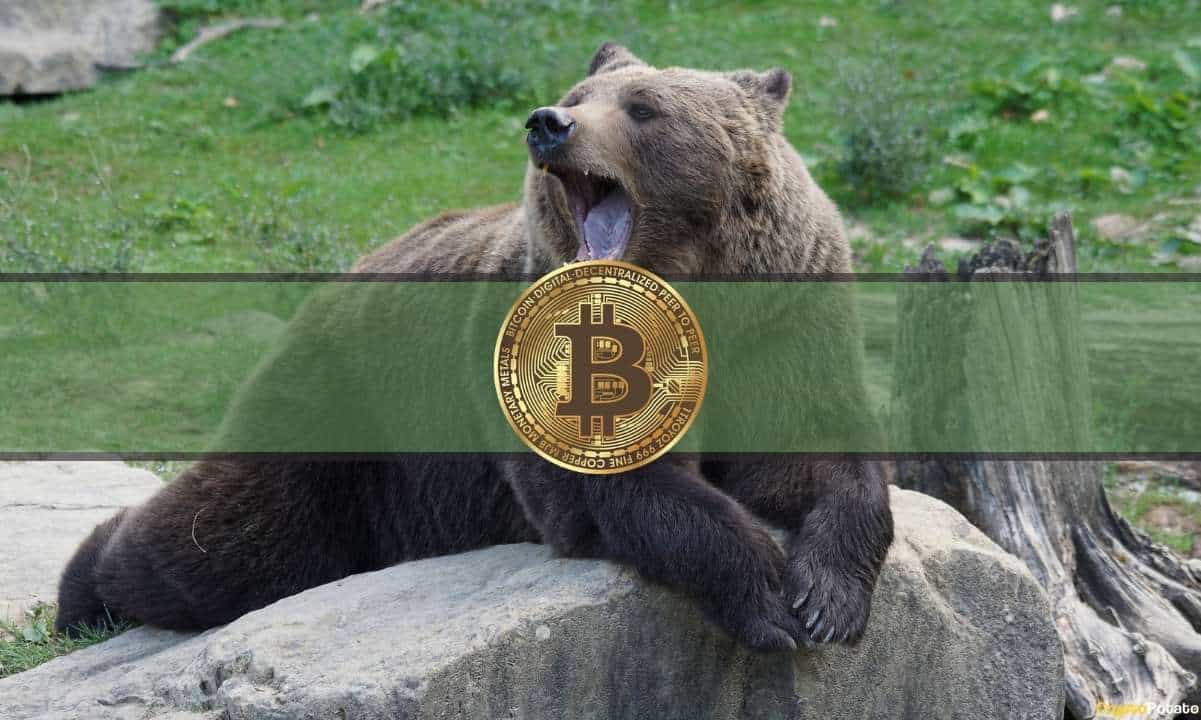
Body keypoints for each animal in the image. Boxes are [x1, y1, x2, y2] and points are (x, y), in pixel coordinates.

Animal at [56, 43, 894, 652]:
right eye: (579, 96)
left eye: (643, 107)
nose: (547, 122)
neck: (686, 292)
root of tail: (343, 275)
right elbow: (627, 491)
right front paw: (767, 601)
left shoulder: (784, 321)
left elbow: (815, 457)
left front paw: (826, 601)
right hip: (343, 417)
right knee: (224, 545)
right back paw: (83, 588)